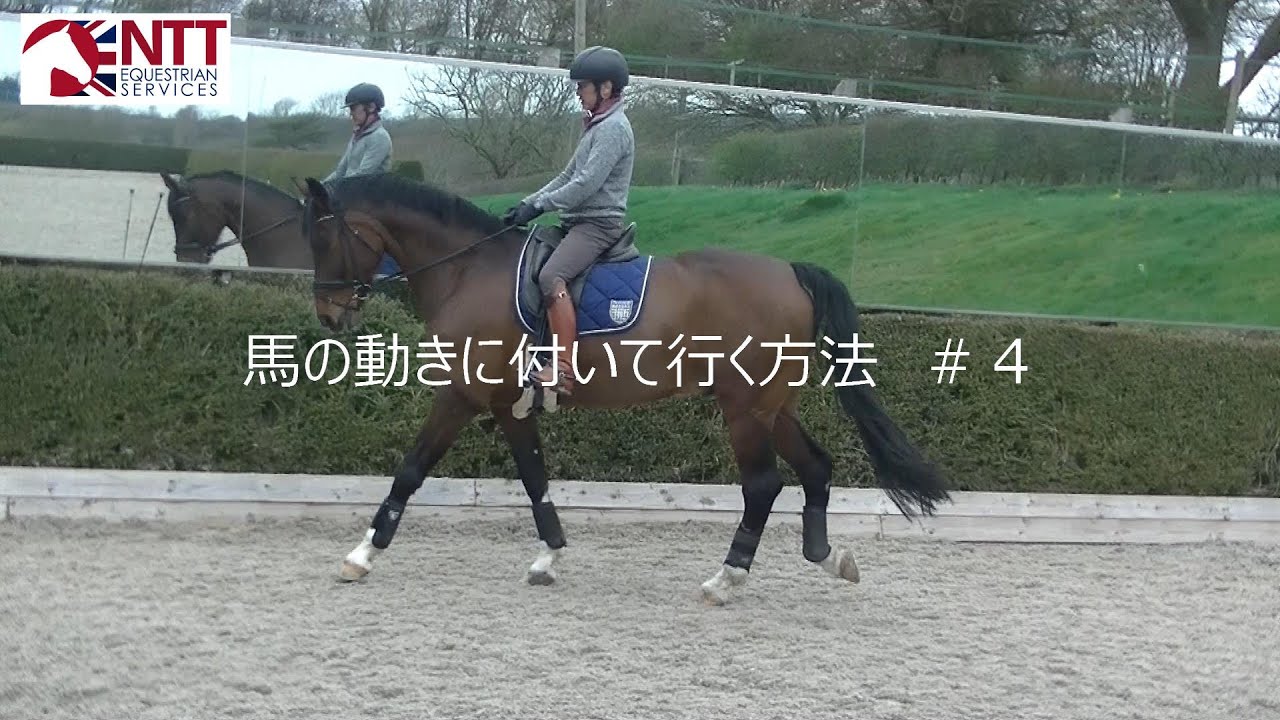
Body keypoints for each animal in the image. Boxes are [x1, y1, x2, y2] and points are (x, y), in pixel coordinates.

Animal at [299, 172, 951, 605]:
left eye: (323, 240)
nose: (328, 315)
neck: (467, 270)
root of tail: (790, 272)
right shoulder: (509, 406)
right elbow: (534, 478)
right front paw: (549, 557)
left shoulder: (459, 396)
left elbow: (409, 471)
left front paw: (360, 556)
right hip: (774, 406)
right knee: (816, 467)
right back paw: (828, 558)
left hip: (744, 408)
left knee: (764, 485)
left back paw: (726, 578)